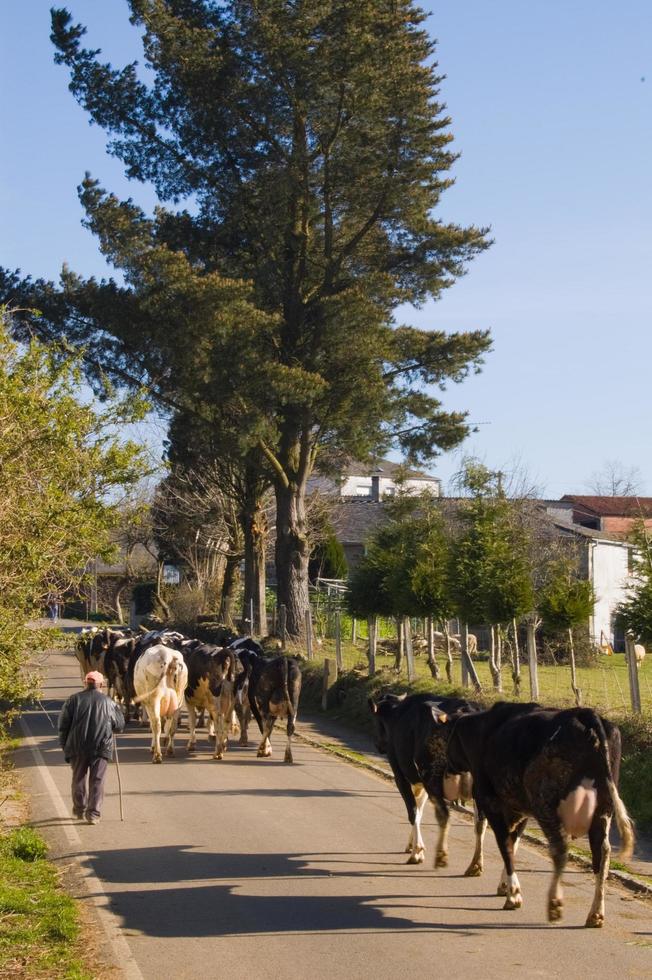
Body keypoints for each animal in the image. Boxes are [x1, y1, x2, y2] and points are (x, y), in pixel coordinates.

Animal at [440, 700, 636, 924]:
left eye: (447, 738)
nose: (447, 769)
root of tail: (583, 713)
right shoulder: (520, 808)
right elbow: (514, 841)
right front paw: (505, 885)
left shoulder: (491, 802)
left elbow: (503, 843)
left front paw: (512, 894)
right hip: (603, 808)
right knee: (601, 854)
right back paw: (595, 913)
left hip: (545, 802)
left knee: (560, 848)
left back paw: (555, 903)